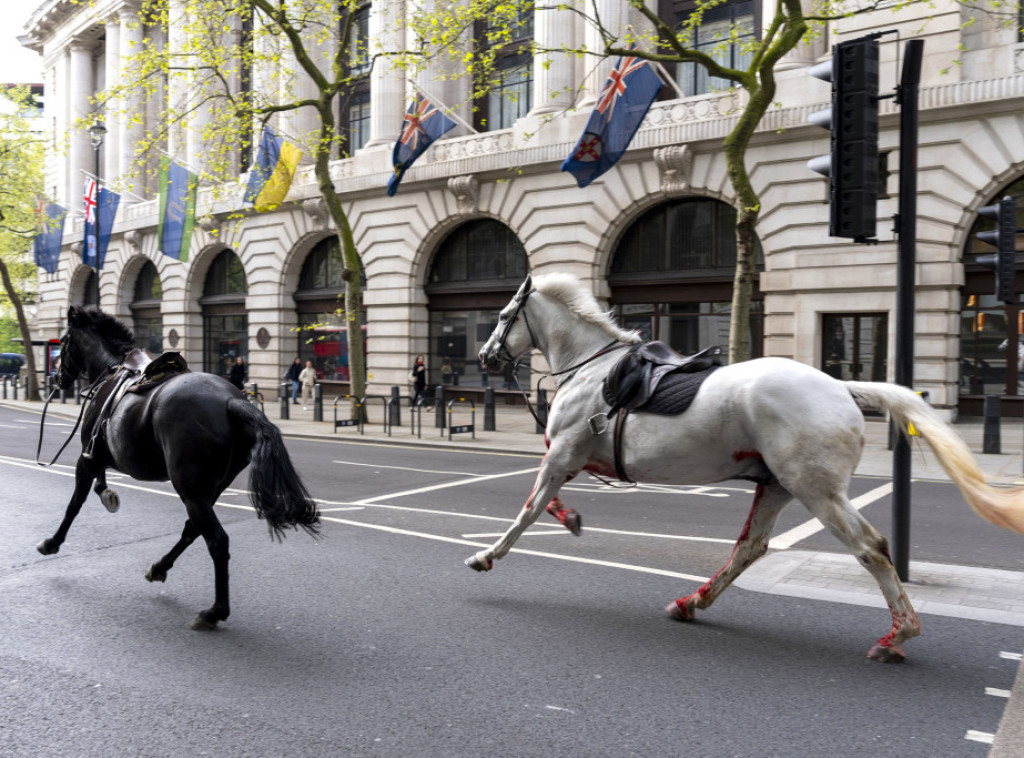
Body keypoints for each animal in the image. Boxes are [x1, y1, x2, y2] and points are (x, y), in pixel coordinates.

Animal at [39, 305, 319, 630]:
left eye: (63, 342)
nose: (56, 378)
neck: (112, 370)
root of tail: (232, 401)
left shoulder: (87, 458)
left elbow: (74, 505)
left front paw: (52, 542)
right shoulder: (99, 456)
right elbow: (99, 485)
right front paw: (107, 494)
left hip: (190, 488)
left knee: (217, 540)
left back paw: (214, 611)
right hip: (209, 488)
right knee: (192, 530)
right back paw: (159, 568)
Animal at [468, 274, 1024, 663]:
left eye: (503, 314)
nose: (485, 355)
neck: (591, 367)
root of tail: (842, 387)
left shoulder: (563, 452)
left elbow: (528, 510)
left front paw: (487, 556)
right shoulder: (572, 457)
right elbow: (547, 503)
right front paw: (570, 519)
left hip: (817, 490)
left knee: (872, 549)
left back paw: (897, 635)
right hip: (777, 485)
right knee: (750, 548)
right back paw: (692, 602)